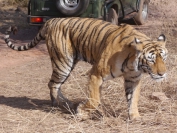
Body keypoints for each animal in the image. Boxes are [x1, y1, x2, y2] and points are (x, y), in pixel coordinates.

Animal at [4, 17, 167, 120]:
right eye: (151, 59)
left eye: (164, 57)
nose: (162, 74)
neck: (133, 62)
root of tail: (51, 21)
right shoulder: (96, 74)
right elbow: (94, 99)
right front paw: (81, 111)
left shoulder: (133, 79)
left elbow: (133, 99)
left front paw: (135, 117)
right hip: (63, 63)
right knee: (52, 84)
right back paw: (61, 104)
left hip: (68, 64)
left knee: (56, 84)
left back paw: (66, 103)